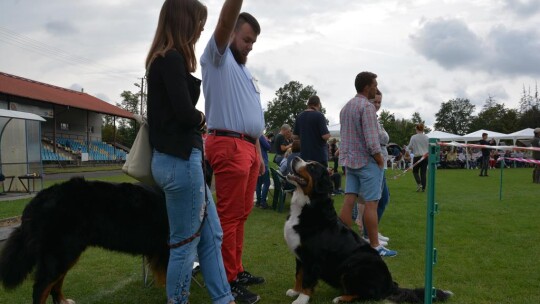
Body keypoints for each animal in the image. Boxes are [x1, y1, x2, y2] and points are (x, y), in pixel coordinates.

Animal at [0, 177, 169, 304]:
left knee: (55, 283)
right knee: (41, 288)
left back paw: (63, 301)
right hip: (61, 252)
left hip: (67, 252)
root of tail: (38, 198)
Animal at [282, 158, 452, 302]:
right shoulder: (300, 256)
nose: (295, 158)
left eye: (311, 167)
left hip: (353, 267)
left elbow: (308, 281)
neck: (308, 205)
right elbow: (299, 275)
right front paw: (295, 291)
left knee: (369, 295)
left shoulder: (313, 258)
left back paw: (342, 298)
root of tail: (390, 285)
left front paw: (301, 299)